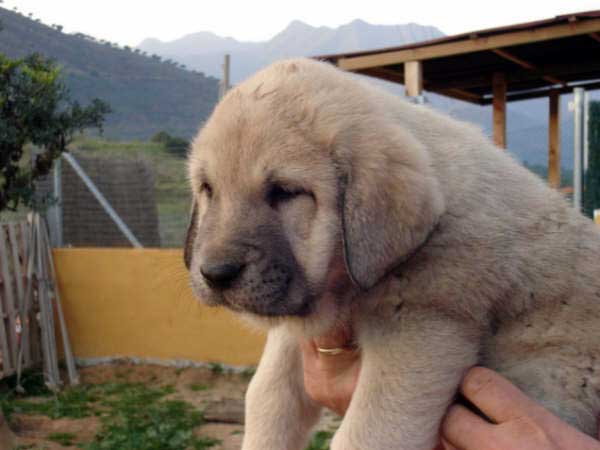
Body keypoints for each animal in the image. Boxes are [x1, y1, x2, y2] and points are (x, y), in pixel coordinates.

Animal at [184, 59, 600, 450]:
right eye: (208, 189)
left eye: (286, 192)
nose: (215, 273)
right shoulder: (299, 326)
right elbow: (267, 398)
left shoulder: (421, 327)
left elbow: (367, 434)